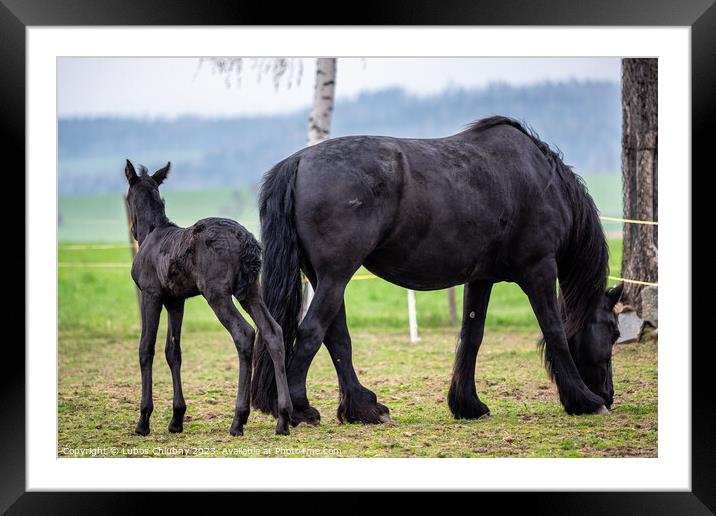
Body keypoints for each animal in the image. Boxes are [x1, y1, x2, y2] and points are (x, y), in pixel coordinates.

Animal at [124, 160, 292, 436]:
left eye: (127, 197)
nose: (132, 228)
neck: (152, 233)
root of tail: (246, 240)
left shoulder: (151, 294)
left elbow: (145, 348)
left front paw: (143, 420)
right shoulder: (175, 300)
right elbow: (173, 351)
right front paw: (176, 418)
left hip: (217, 293)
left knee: (244, 333)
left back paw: (238, 419)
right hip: (250, 290)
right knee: (272, 331)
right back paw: (283, 418)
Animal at [250, 118, 620, 428]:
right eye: (614, 332)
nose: (609, 395)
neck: (539, 180)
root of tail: (299, 162)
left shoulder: (481, 278)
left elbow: (471, 336)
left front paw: (467, 405)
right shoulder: (539, 269)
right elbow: (554, 331)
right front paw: (584, 400)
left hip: (325, 278)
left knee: (336, 336)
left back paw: (364, 408)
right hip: (335, 276)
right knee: (312, 331)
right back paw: (301, 409)